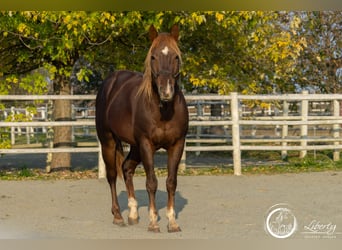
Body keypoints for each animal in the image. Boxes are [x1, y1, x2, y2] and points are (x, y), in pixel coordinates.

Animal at [95, 24, 188, 233]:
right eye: (153, 57)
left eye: (176, 57)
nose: (166, 91)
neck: (163, 110)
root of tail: (111, 81)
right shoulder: (146, 144)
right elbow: (151, 182)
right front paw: (153, 222)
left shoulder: (177, 145)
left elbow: (171, 182)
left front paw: (172, 222)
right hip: (108, 141)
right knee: (112, 175)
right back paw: (118, 216)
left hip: (135, 146)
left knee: (126, 168)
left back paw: (133, 213)